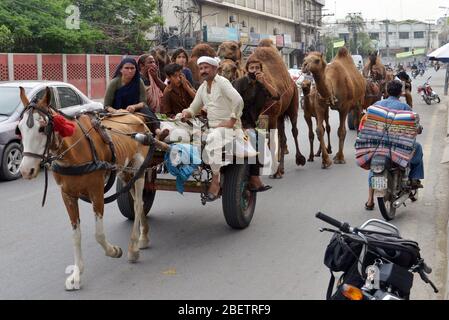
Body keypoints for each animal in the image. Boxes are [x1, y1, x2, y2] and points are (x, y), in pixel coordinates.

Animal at [18, 87, 150, 290]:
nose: (26, 170)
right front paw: (77, 274)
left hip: (139, 169)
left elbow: (99, 234)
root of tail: (135, 116)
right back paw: (143, 237)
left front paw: (114, 251)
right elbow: (76, 235)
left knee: (137, 205)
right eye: (20, 129)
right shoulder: (67, 196)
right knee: (139, 202)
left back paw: (133, 248)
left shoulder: (96, 191)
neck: (74, 151)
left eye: (42, 128)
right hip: (125, 172)